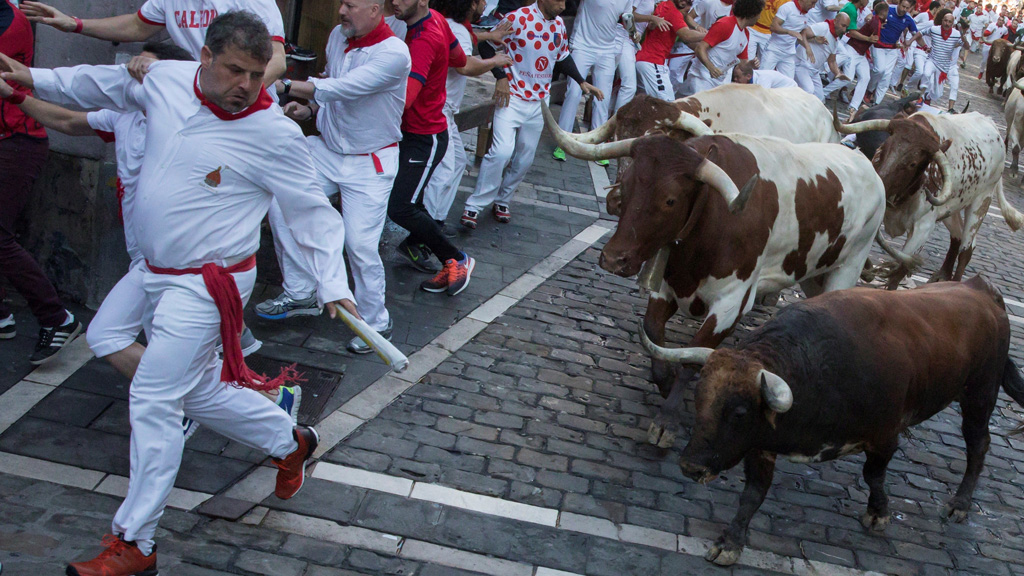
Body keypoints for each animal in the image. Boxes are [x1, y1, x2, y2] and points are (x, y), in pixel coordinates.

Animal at [544, 100, 888, 446]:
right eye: (625, 187)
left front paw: (667, 420)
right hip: (814, 274)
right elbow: (653, 332)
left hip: (848, 267)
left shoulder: (731, 304)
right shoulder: (668, 285)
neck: (711, 216)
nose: (613, 259)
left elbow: (694, 357)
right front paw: (664, 380)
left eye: (670, 200)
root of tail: (865, 163)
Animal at [638, 274, 1024, 565]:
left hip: (980, 395)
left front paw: (878, 512)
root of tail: (982, 291)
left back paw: (960, 504)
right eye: (699, 398)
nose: (691, 466)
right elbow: (752, 495)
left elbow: (873, 475)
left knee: (978, 445)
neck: (817, 370)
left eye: (739, 413)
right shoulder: (760, 445)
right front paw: (730, 541)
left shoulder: (886, 436)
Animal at [831, 109, 1024, 286]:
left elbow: (900, 267)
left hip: (981, 202)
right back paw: (943, 275)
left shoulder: (923, 228)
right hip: (952, 208)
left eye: (912, 163)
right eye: (883, 149)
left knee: (966, 248)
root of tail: (991, 125)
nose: (881, 183)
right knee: (957, 236)